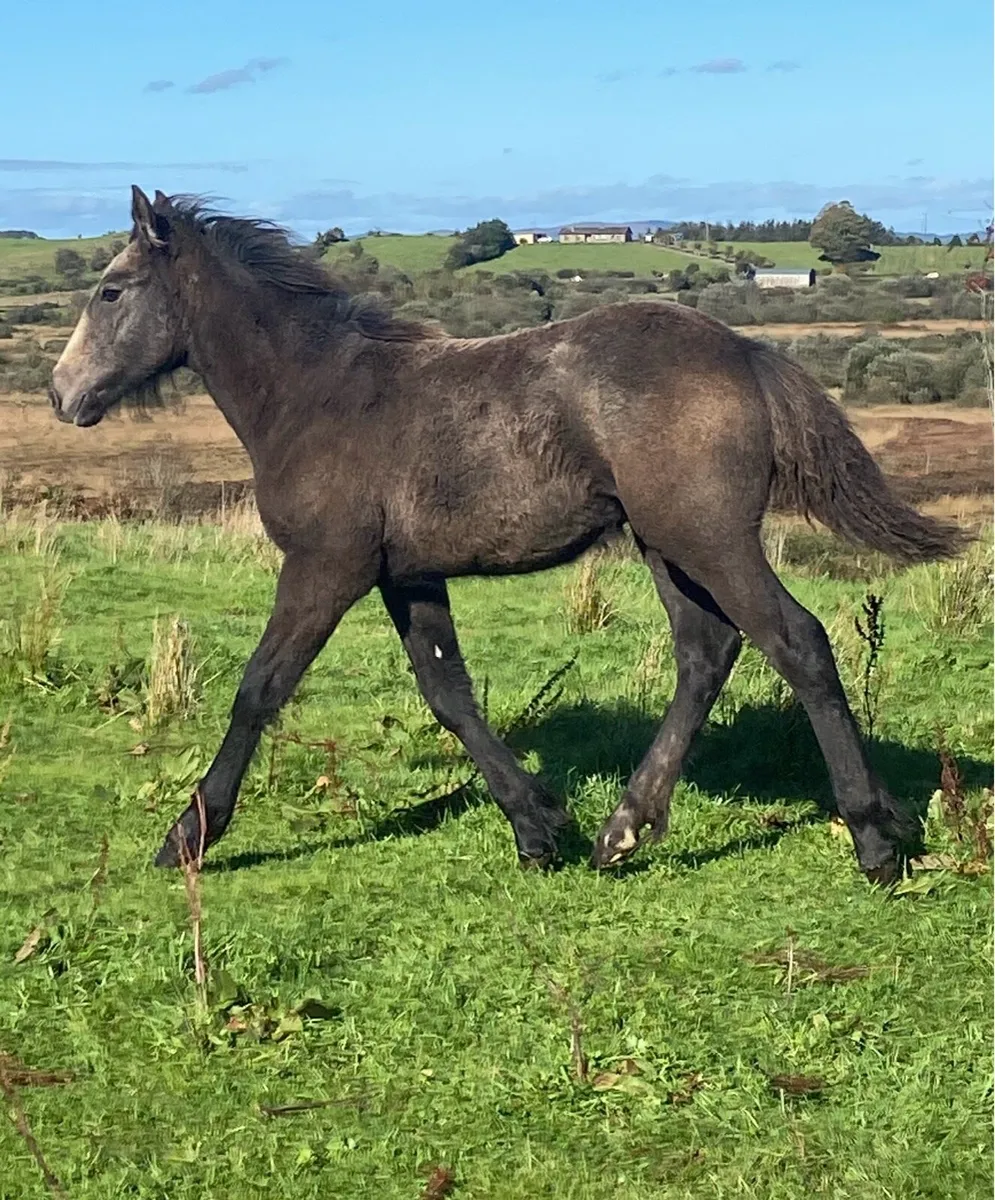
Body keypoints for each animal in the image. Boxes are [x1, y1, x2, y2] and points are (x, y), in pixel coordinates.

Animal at [49, 187, 964, 885]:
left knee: (796, 640)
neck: (317, 395)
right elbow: (447, 692)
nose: (63, 395)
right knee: (706, 653)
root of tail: (745, 352)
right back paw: (621, 831)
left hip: (707, 536)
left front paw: (188, 835)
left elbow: (260, 687)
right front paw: (538, 826)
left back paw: (873, 840)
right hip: (665, 544)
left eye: (112, 291)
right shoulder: (405, 574)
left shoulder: (325, 565)